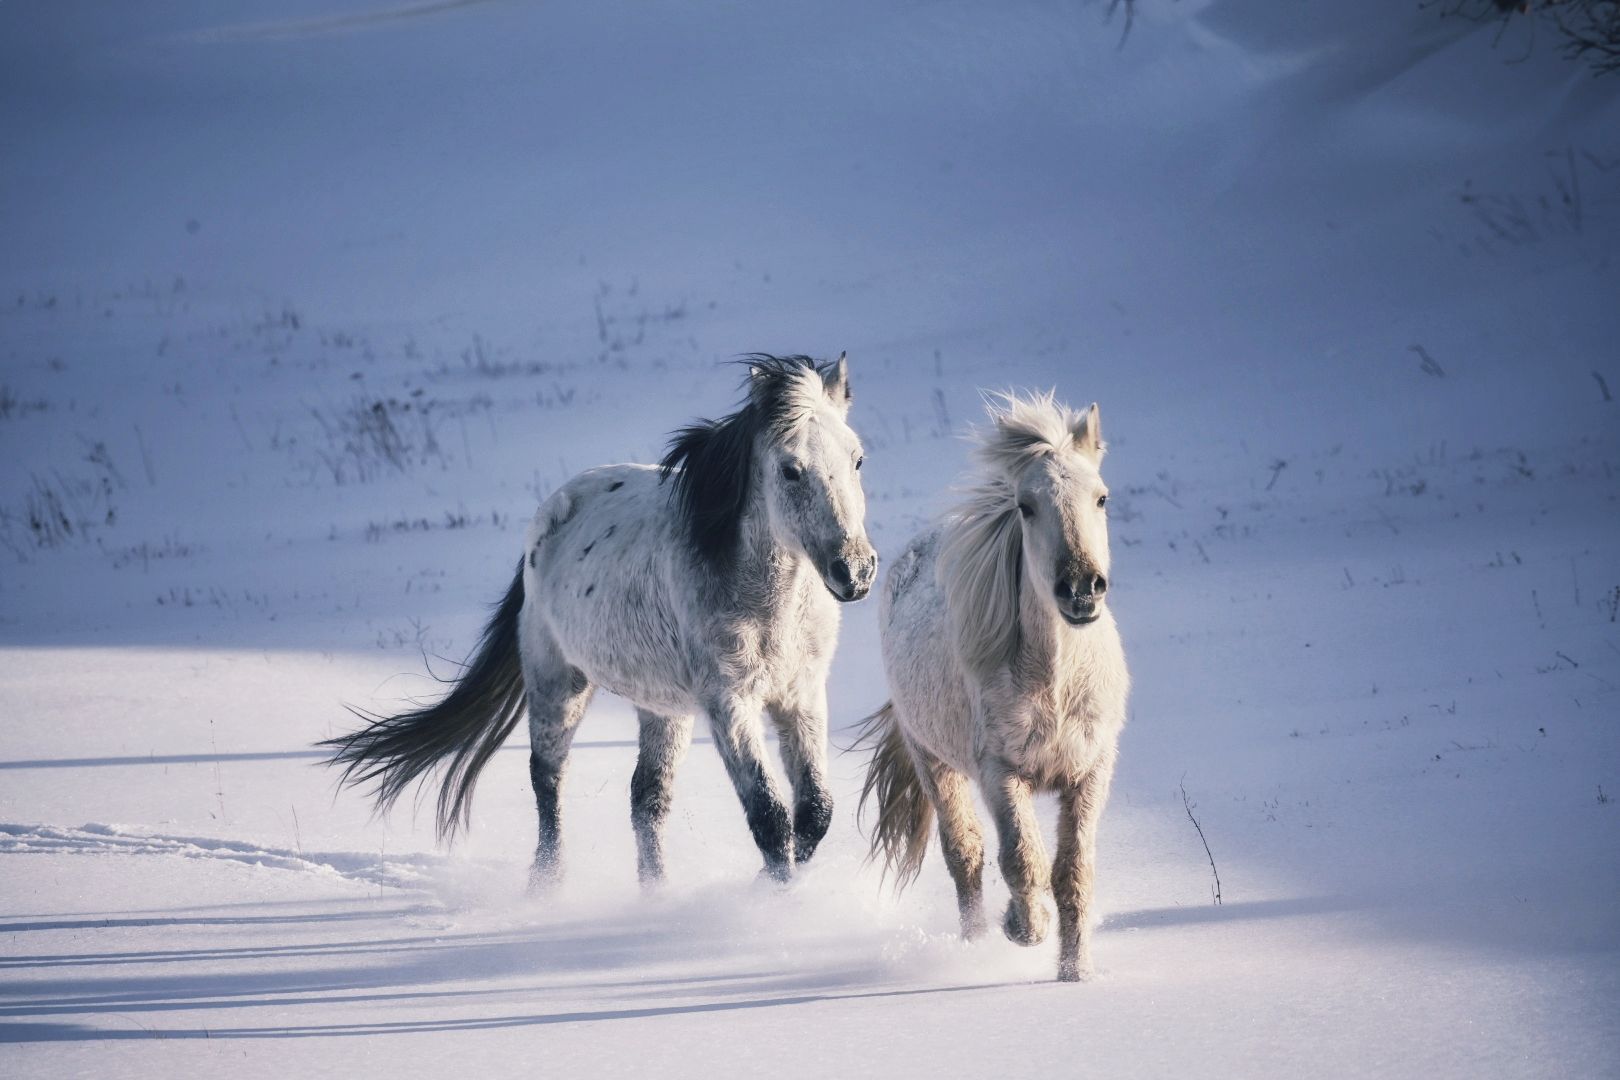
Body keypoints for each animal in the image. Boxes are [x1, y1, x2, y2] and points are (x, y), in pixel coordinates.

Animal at [319, 354, 874, 887]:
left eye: (858, 459)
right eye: (790, 470)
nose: (855, 571)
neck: (769, 604)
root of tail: (549, 517)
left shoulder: (801, 696)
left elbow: (814, 813)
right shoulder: (729, 703)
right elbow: (769, 819)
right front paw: (775, 898)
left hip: (663, 708)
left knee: (647, 800)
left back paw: (654, 894)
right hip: (558, 685)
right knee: (548, 779)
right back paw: (547, 884)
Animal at [861, 393, 1127, 984]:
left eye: (1101, 497)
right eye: (1026, 506)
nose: (1081, 588)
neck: (1055, 685)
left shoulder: (1090, 773)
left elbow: (1074, 873)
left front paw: (1075, 973)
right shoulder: (1000, 774)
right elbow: (1022, 861)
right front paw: (1023, 928)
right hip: (932, 759)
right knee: (965, 854)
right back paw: (974, 944)